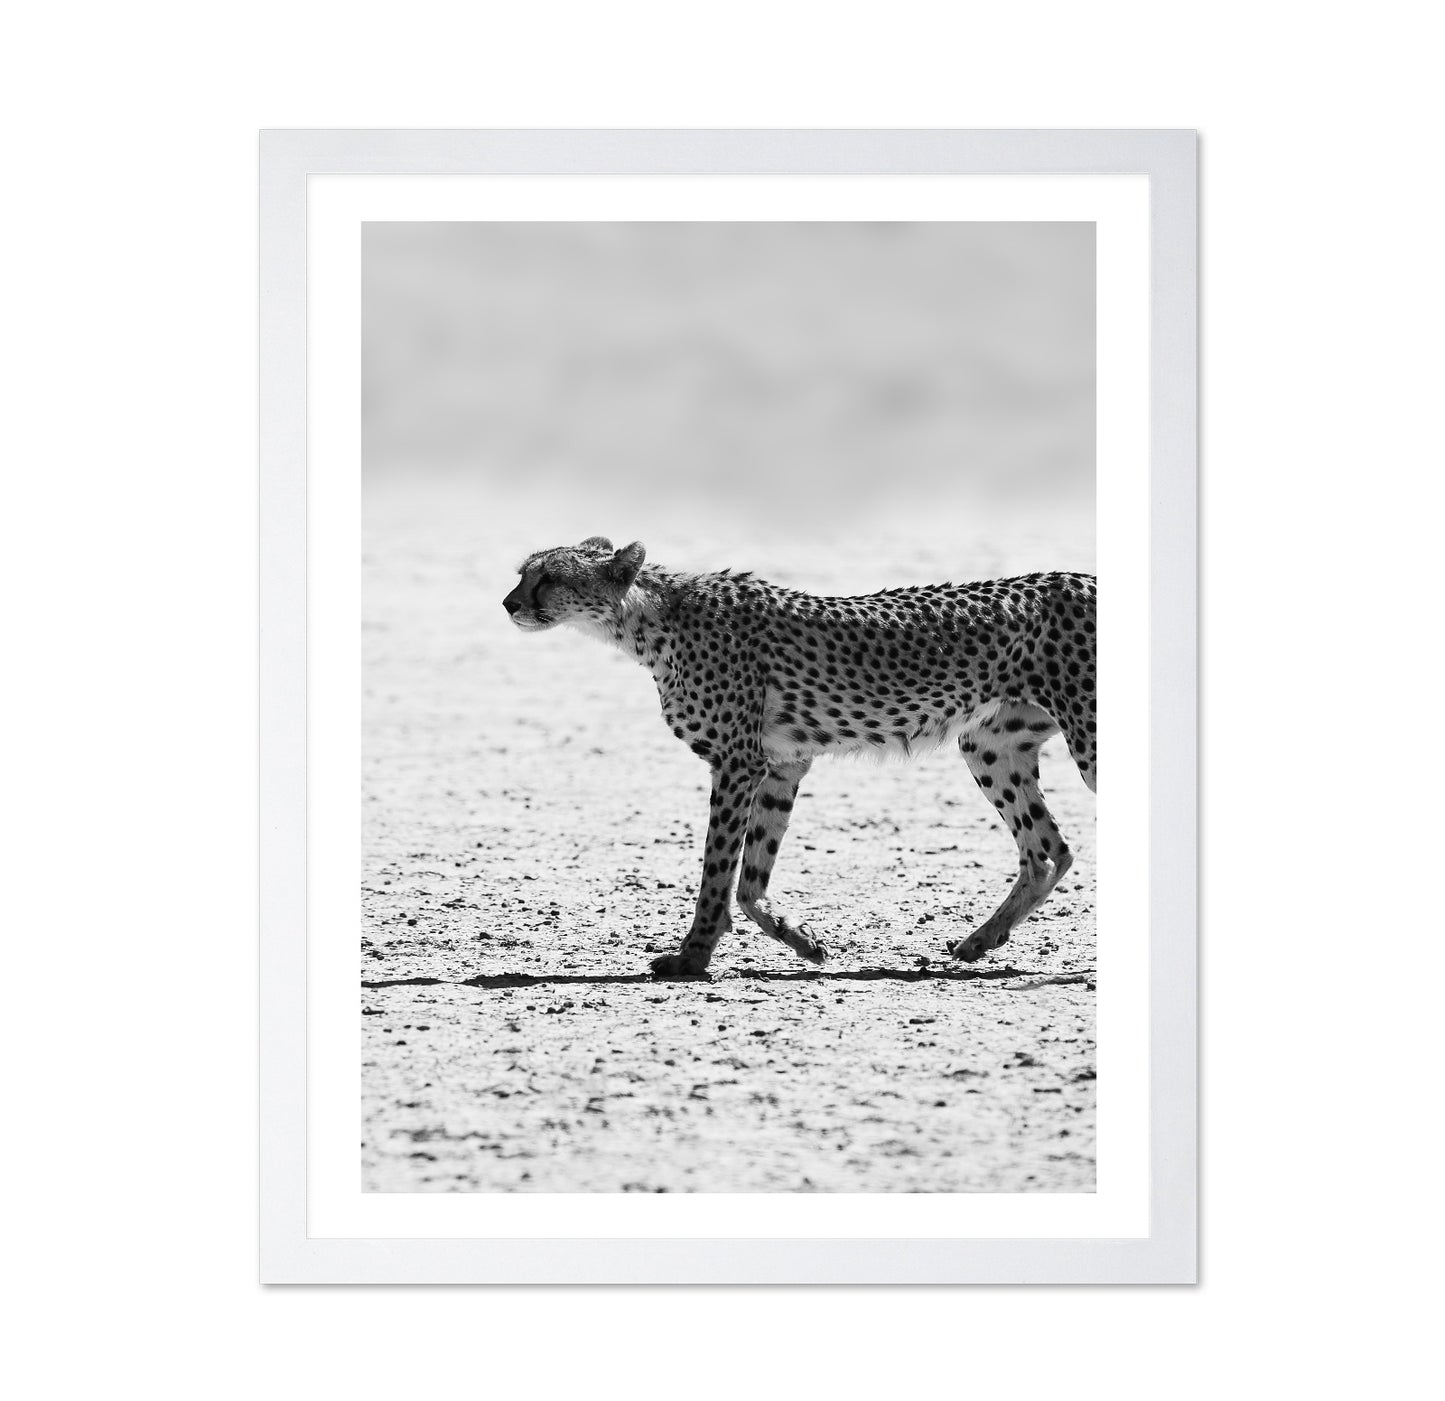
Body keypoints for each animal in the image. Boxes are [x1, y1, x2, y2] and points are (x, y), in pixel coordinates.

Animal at [503, 536, 1096, 979]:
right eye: (522, 573)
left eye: (548, 577)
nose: (509, 603)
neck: (649, 620)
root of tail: (1083, 576)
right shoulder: (781, 763)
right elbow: (751, 877)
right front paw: (803, 942)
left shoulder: (738, 762)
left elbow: (717, 869)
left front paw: (693, 956)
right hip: (989, 745)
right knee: (1048, 851)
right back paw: (981, 940)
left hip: (1086, 738)